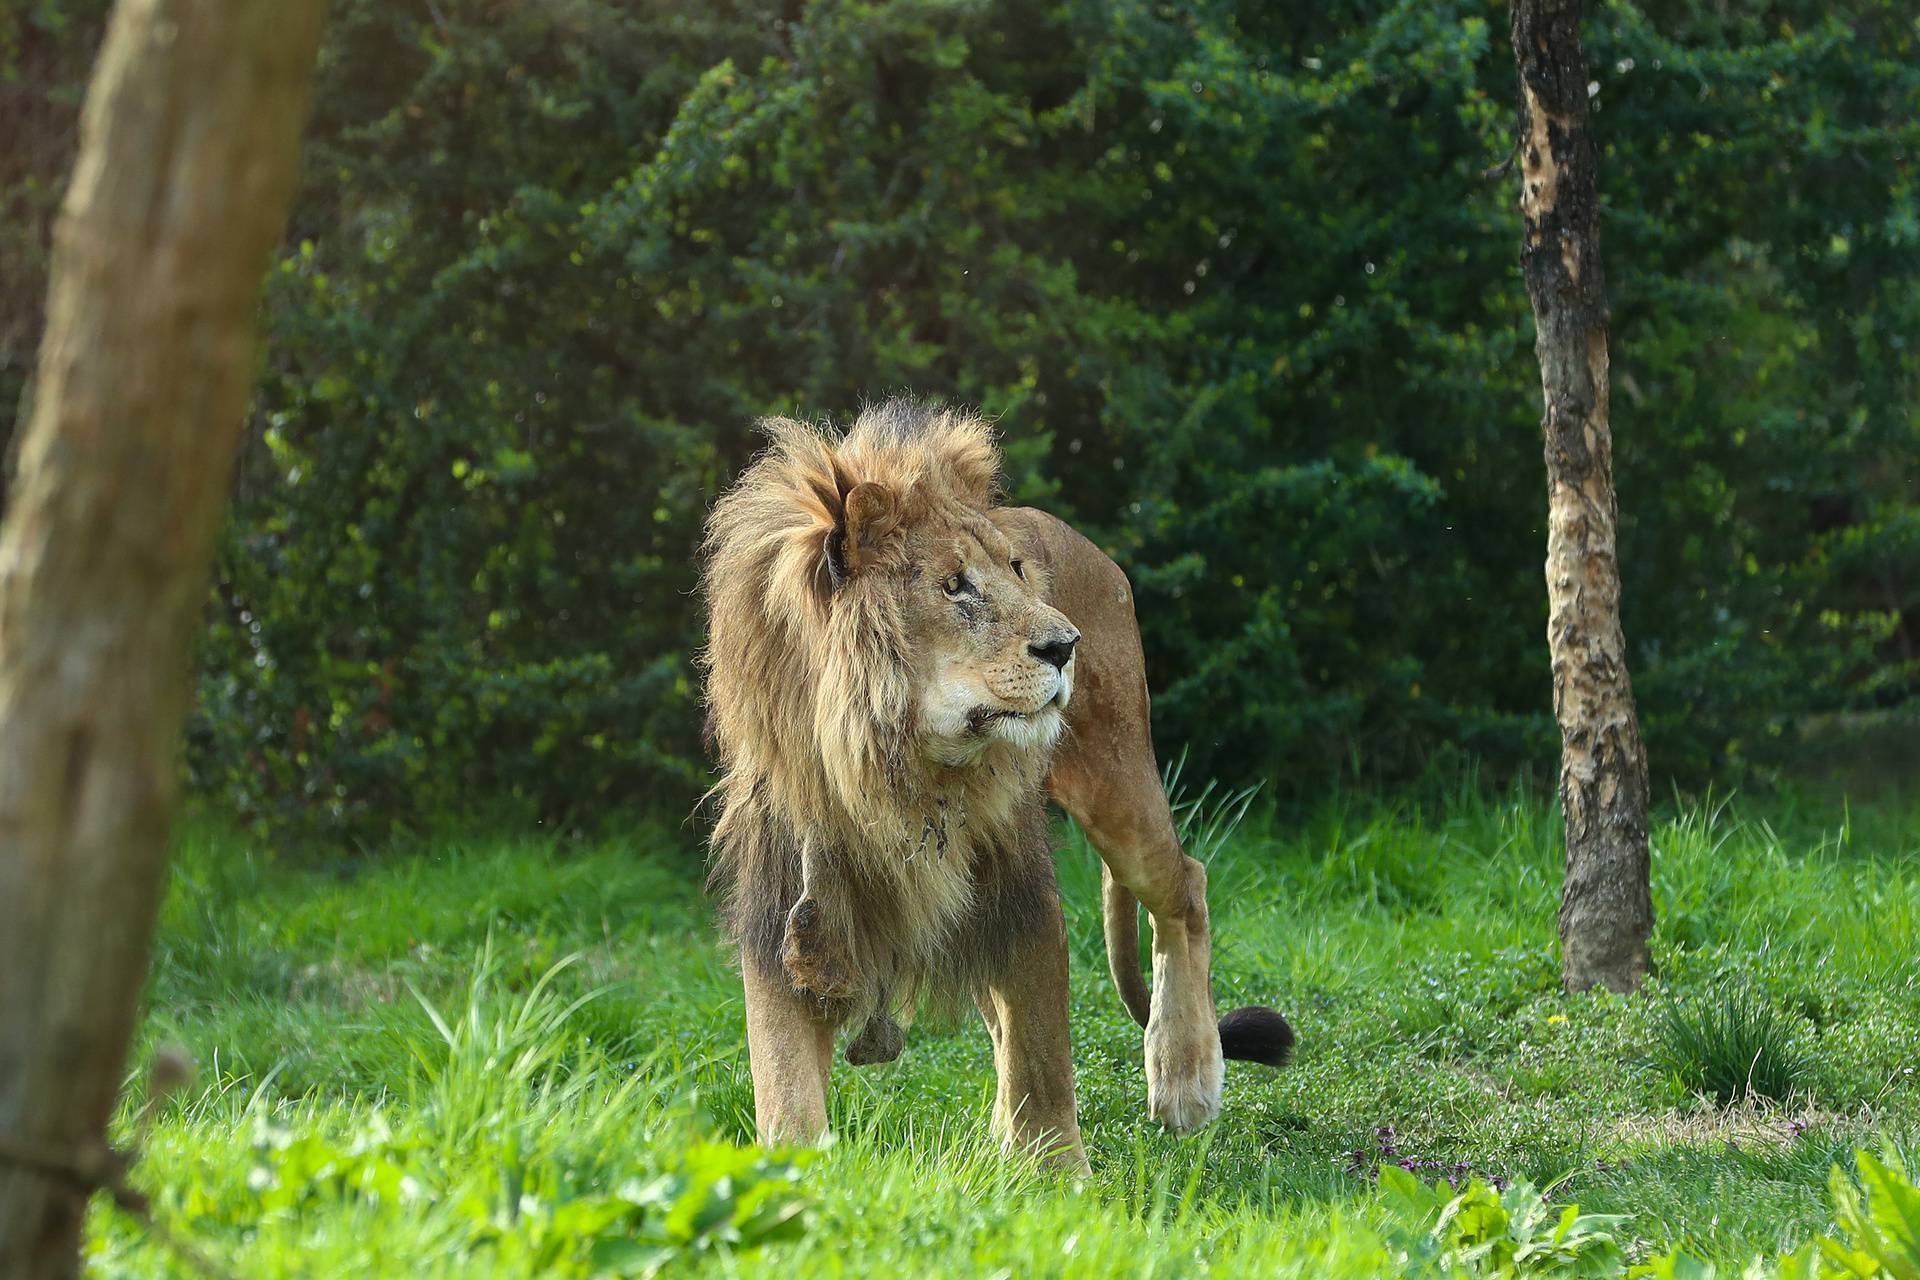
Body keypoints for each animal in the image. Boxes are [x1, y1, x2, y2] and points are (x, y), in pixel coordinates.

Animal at [702, 402, 1290, 1174]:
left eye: (1016, 571)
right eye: (955, 585)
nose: (1065, 645)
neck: (898, 775)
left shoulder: (1019, 889)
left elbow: (1041, 1052)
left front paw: (1058, 1174)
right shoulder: (792, 912)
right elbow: (784, 1079)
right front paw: (791, 1177)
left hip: (1115, 776)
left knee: (1184, 884)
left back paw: (1184, 1079)